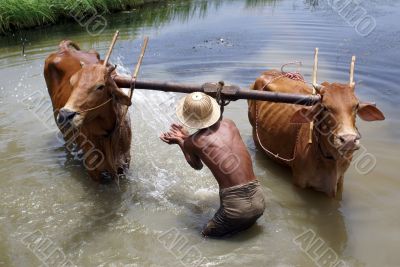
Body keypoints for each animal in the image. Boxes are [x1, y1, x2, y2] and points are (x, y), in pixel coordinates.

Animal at [44, 40, 132, 184]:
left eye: (100, 86)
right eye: (72, 83)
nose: (65, 115)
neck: (106, 135)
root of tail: (64, 48)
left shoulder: (124, 164)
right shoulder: (93, 170)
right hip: (63, 129)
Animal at [248, 69, 386, 199]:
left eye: (356, 106)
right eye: (325, 107)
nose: (349, 140)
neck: (331, 160)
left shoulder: (340, 180)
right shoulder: (299, 181)